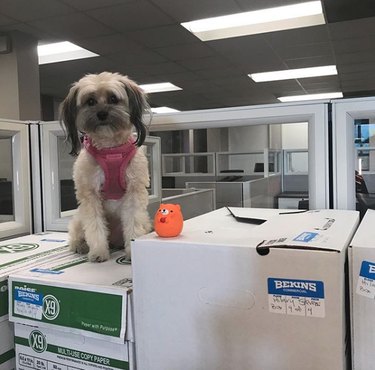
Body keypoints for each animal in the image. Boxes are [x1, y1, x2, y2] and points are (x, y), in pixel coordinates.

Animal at [60, 72, 151, 262]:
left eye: (113, 98)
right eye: (90, 101)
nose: (102, 113)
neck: (110, 148)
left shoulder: (134, 191)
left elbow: (133, 222)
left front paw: (132, 254)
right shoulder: (90, 195)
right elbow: (95, 226)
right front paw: (98, 252)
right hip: (78, 218)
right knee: (76, 235)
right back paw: (81, 246)